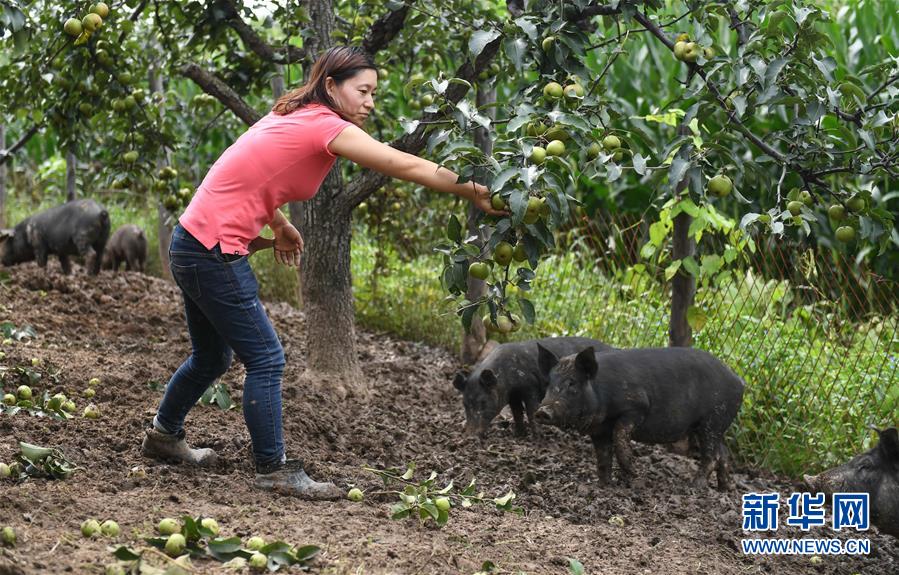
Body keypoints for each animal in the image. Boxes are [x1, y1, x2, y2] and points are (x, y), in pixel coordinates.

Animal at [454, 338, 616, 436]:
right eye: (465, 404)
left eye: (483, 402)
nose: (470, 435)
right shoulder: (513, 396)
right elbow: (517, 412)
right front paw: (519, 434)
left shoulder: (530, 387)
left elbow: (531, 410)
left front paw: (539, 435)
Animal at [536, 346, 740, 490]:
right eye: (549, 383)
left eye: (572, 383)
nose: (542, 411)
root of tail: (738, 380)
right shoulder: (599, 429)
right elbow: (603, 457)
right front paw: (603, 485)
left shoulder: (637, 407)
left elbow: (620, 438)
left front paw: (634, 475)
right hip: (711, 426)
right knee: (723, 453)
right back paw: (725, 489)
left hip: (712, 421)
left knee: (712, 455)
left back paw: (694, 487)